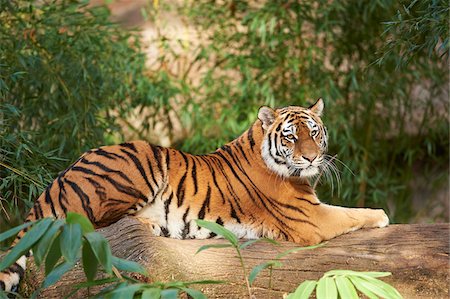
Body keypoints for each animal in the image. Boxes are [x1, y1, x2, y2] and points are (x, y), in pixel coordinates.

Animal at [0, 99, 388, 292]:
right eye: (291, 137)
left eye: (314, 132)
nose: (310, 158)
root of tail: (56, 179)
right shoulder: (311, 216)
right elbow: (354, 212)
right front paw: (382, 215)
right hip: (140, 161)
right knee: (86, 224)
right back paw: (150, 225)